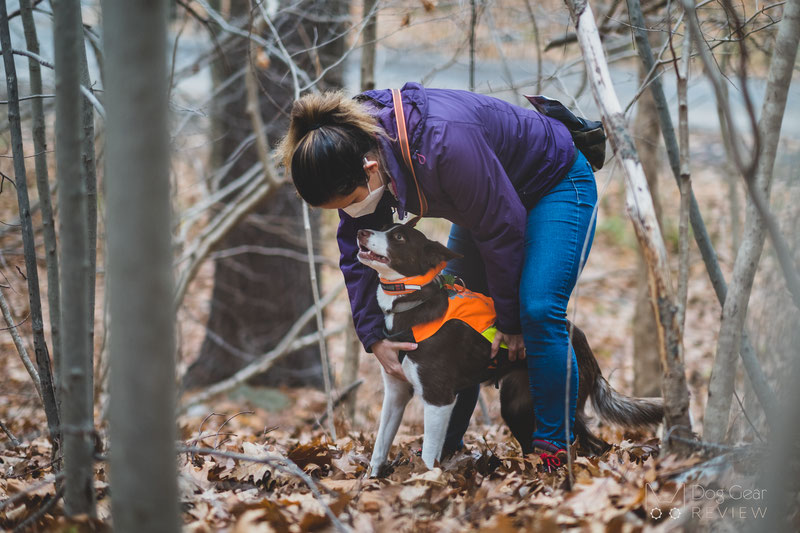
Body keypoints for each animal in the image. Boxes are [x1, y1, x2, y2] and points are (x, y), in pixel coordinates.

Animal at [356, 220, 664, 474]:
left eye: (399, 237)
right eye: (382, 227)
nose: (360, 232)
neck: (410, 303)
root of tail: (582, 340)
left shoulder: (438, 397)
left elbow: (430, 456)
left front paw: (426, 482)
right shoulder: (396, 392)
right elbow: (379, 447)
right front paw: (372, 480)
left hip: (564, 404)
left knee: (596, 445)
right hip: (518, 407)